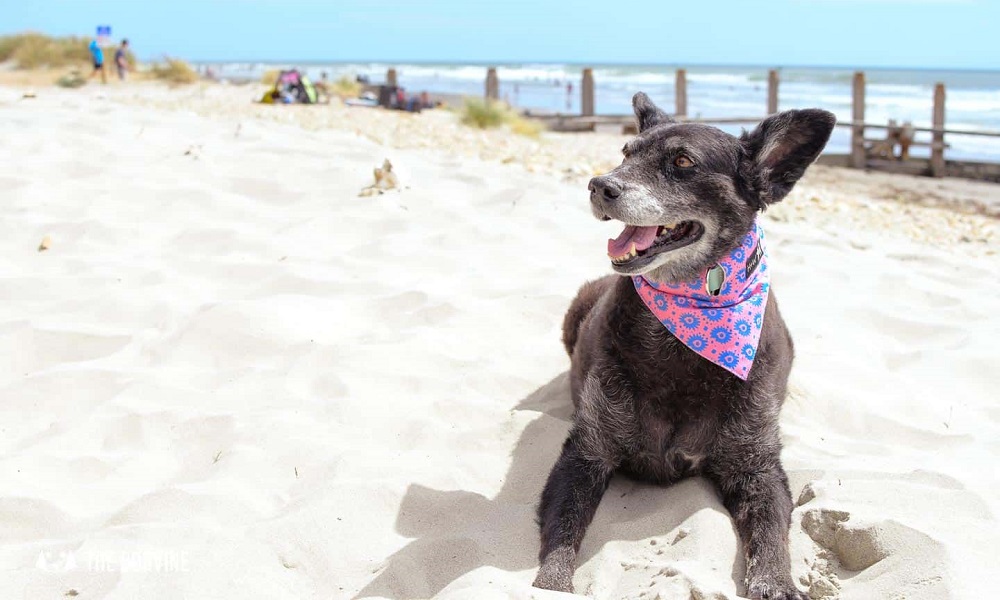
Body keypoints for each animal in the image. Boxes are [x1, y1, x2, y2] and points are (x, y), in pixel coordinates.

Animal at [532, 94, 836, 600]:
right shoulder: (587, 452)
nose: (599, 185)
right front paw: (549, 583)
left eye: (682, 162)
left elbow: (771, 535)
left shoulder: (757, 466)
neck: (680, 341)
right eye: (625, 152)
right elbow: (563, 531)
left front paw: (775, 583)